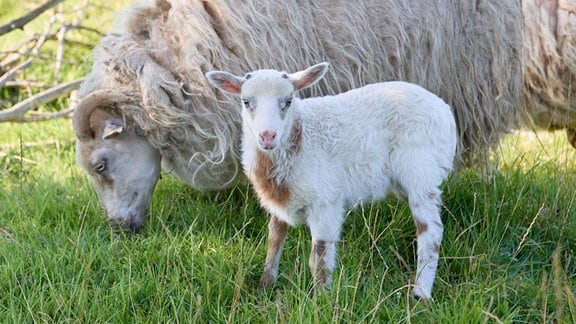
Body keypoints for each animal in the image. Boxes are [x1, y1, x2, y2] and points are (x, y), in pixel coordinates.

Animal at [205, 62, 456, 300]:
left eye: (288, 101)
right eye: (246, 101)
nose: (267, 136)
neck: (299, 138)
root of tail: (445, 110)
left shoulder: (325, 202)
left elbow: (319, 257)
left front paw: (320, 299)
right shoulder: (280, 199)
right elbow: (274, 239)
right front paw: (264, 286)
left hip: (419, 169)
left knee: (431, 232)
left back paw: (420, 294)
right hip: (405, 180)